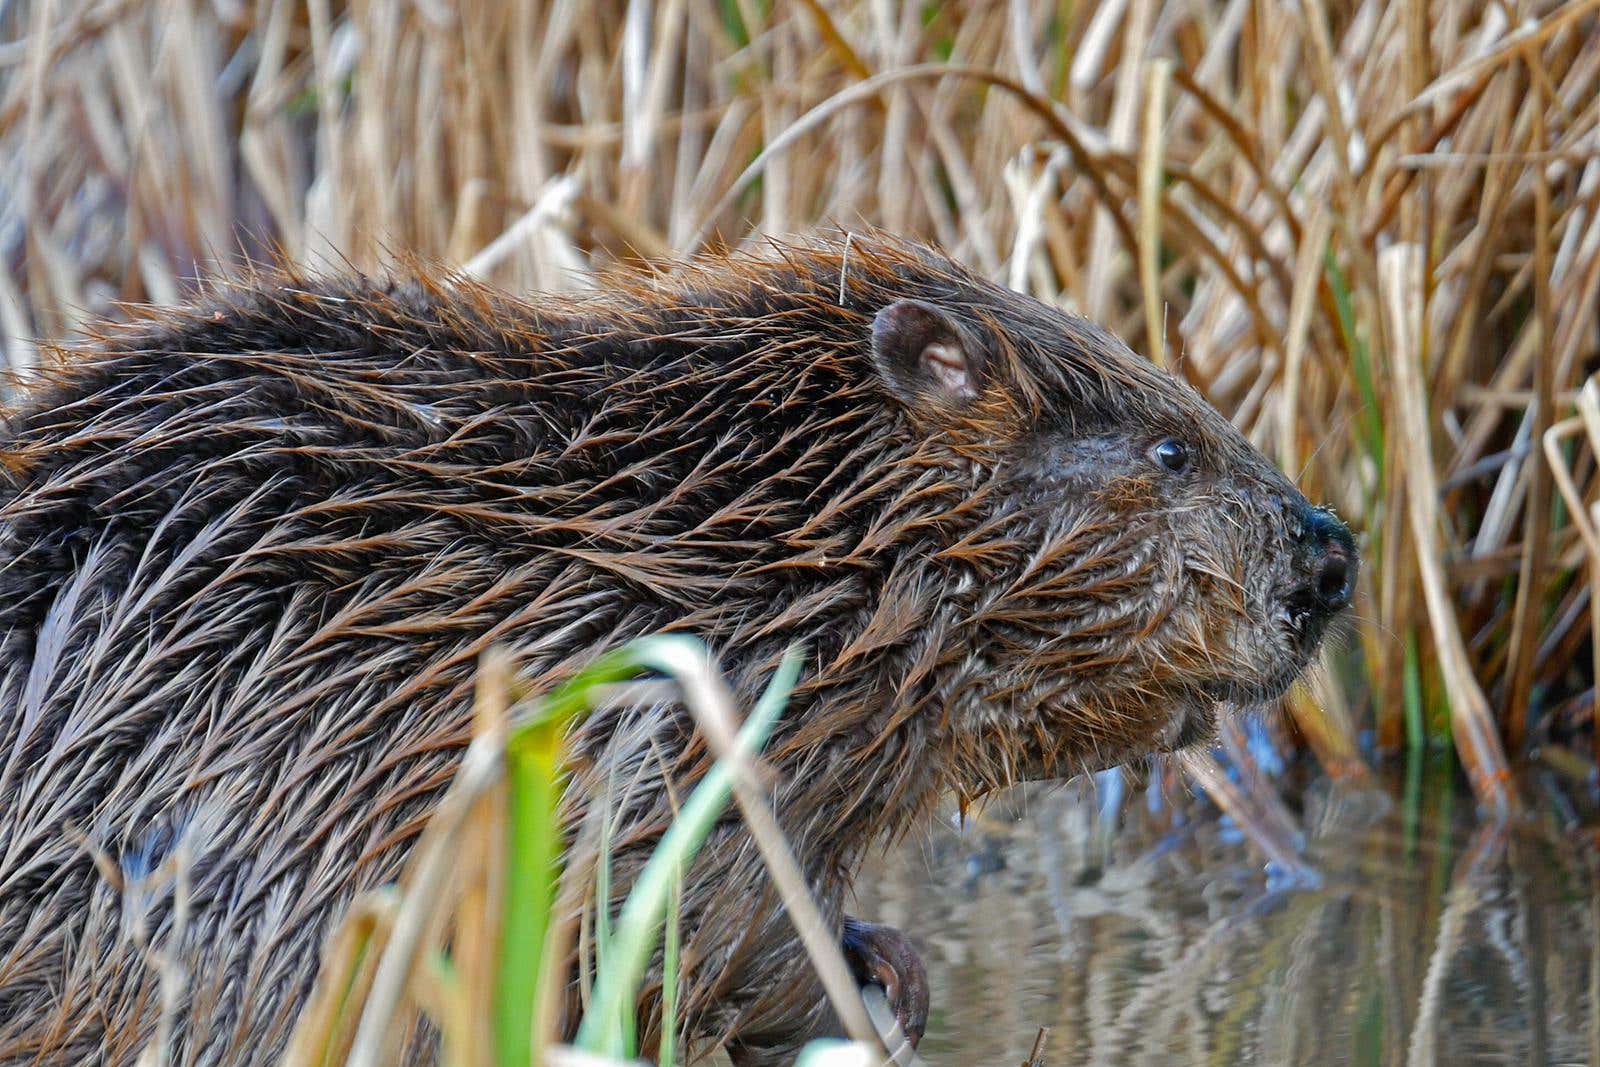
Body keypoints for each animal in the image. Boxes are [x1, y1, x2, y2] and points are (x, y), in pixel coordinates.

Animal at [0, 235, 1350, 1067]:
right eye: (1170, 450)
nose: (1330, 556)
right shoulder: (649, 717)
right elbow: (682, 918)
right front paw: (874, 993)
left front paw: (887, 958)